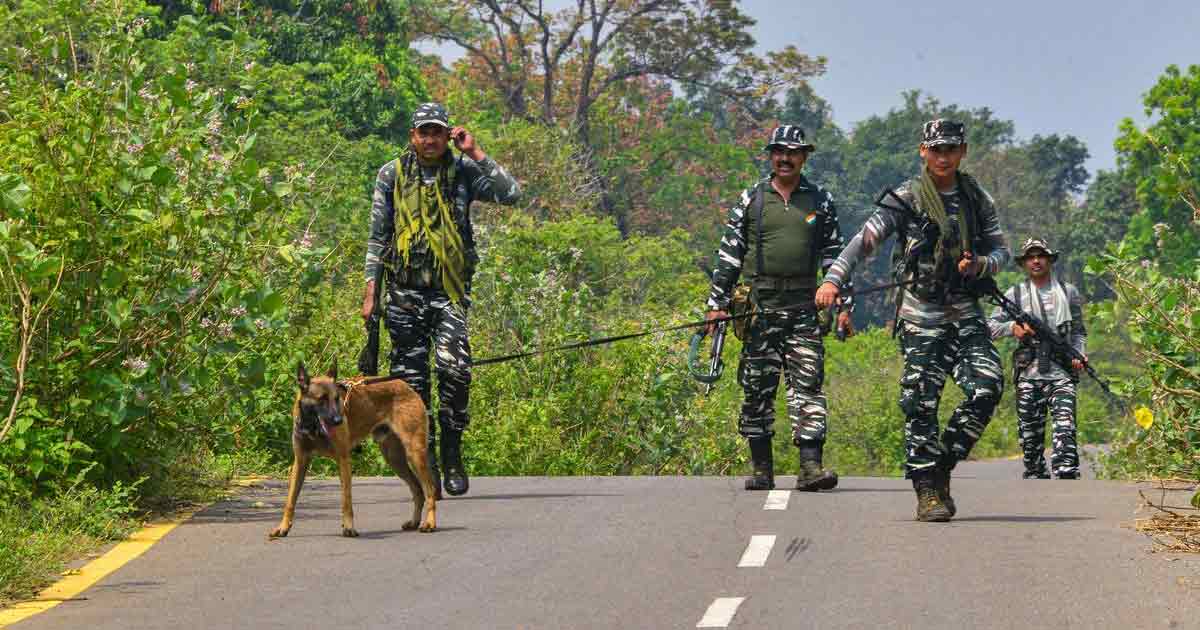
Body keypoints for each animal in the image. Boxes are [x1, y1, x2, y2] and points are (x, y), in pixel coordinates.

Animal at [270, 360, 439, 537]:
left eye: (337, 398)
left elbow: (346, 500)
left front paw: (349, 527)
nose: (338, 420)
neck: (312, 428)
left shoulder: (344, 460)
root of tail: (406, 386)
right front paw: (283, 527)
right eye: (321, 399)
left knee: (429, 490)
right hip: (395, 459)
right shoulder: (300, 462)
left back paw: (429, 523)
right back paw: (414, 522)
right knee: (418, 490)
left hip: (414, 454)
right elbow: (290, 500)